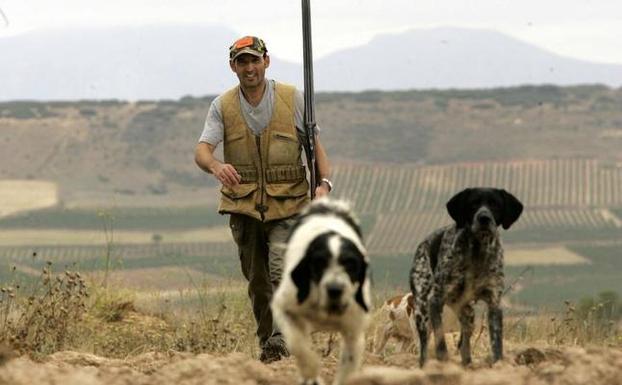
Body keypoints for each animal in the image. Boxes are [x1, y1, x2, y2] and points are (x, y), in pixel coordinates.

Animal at [272, 198, 370, 384]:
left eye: (351, 264)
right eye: (319, 263)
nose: (335, 289)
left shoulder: (354, 330)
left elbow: (348, 365)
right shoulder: (285, 307)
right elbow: (300, 347)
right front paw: (311, 374)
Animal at [412, 188, 524, 366]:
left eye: (495, 204)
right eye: (473, 204)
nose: (484, 218)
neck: (477, 251)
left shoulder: (494, 303)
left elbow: (496, 343)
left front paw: (498, 364)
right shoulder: (435, 301)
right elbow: (440, 339)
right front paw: (443, 359)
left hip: (469, 314)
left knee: (465, 344)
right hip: (422, 311)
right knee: (424, 347)